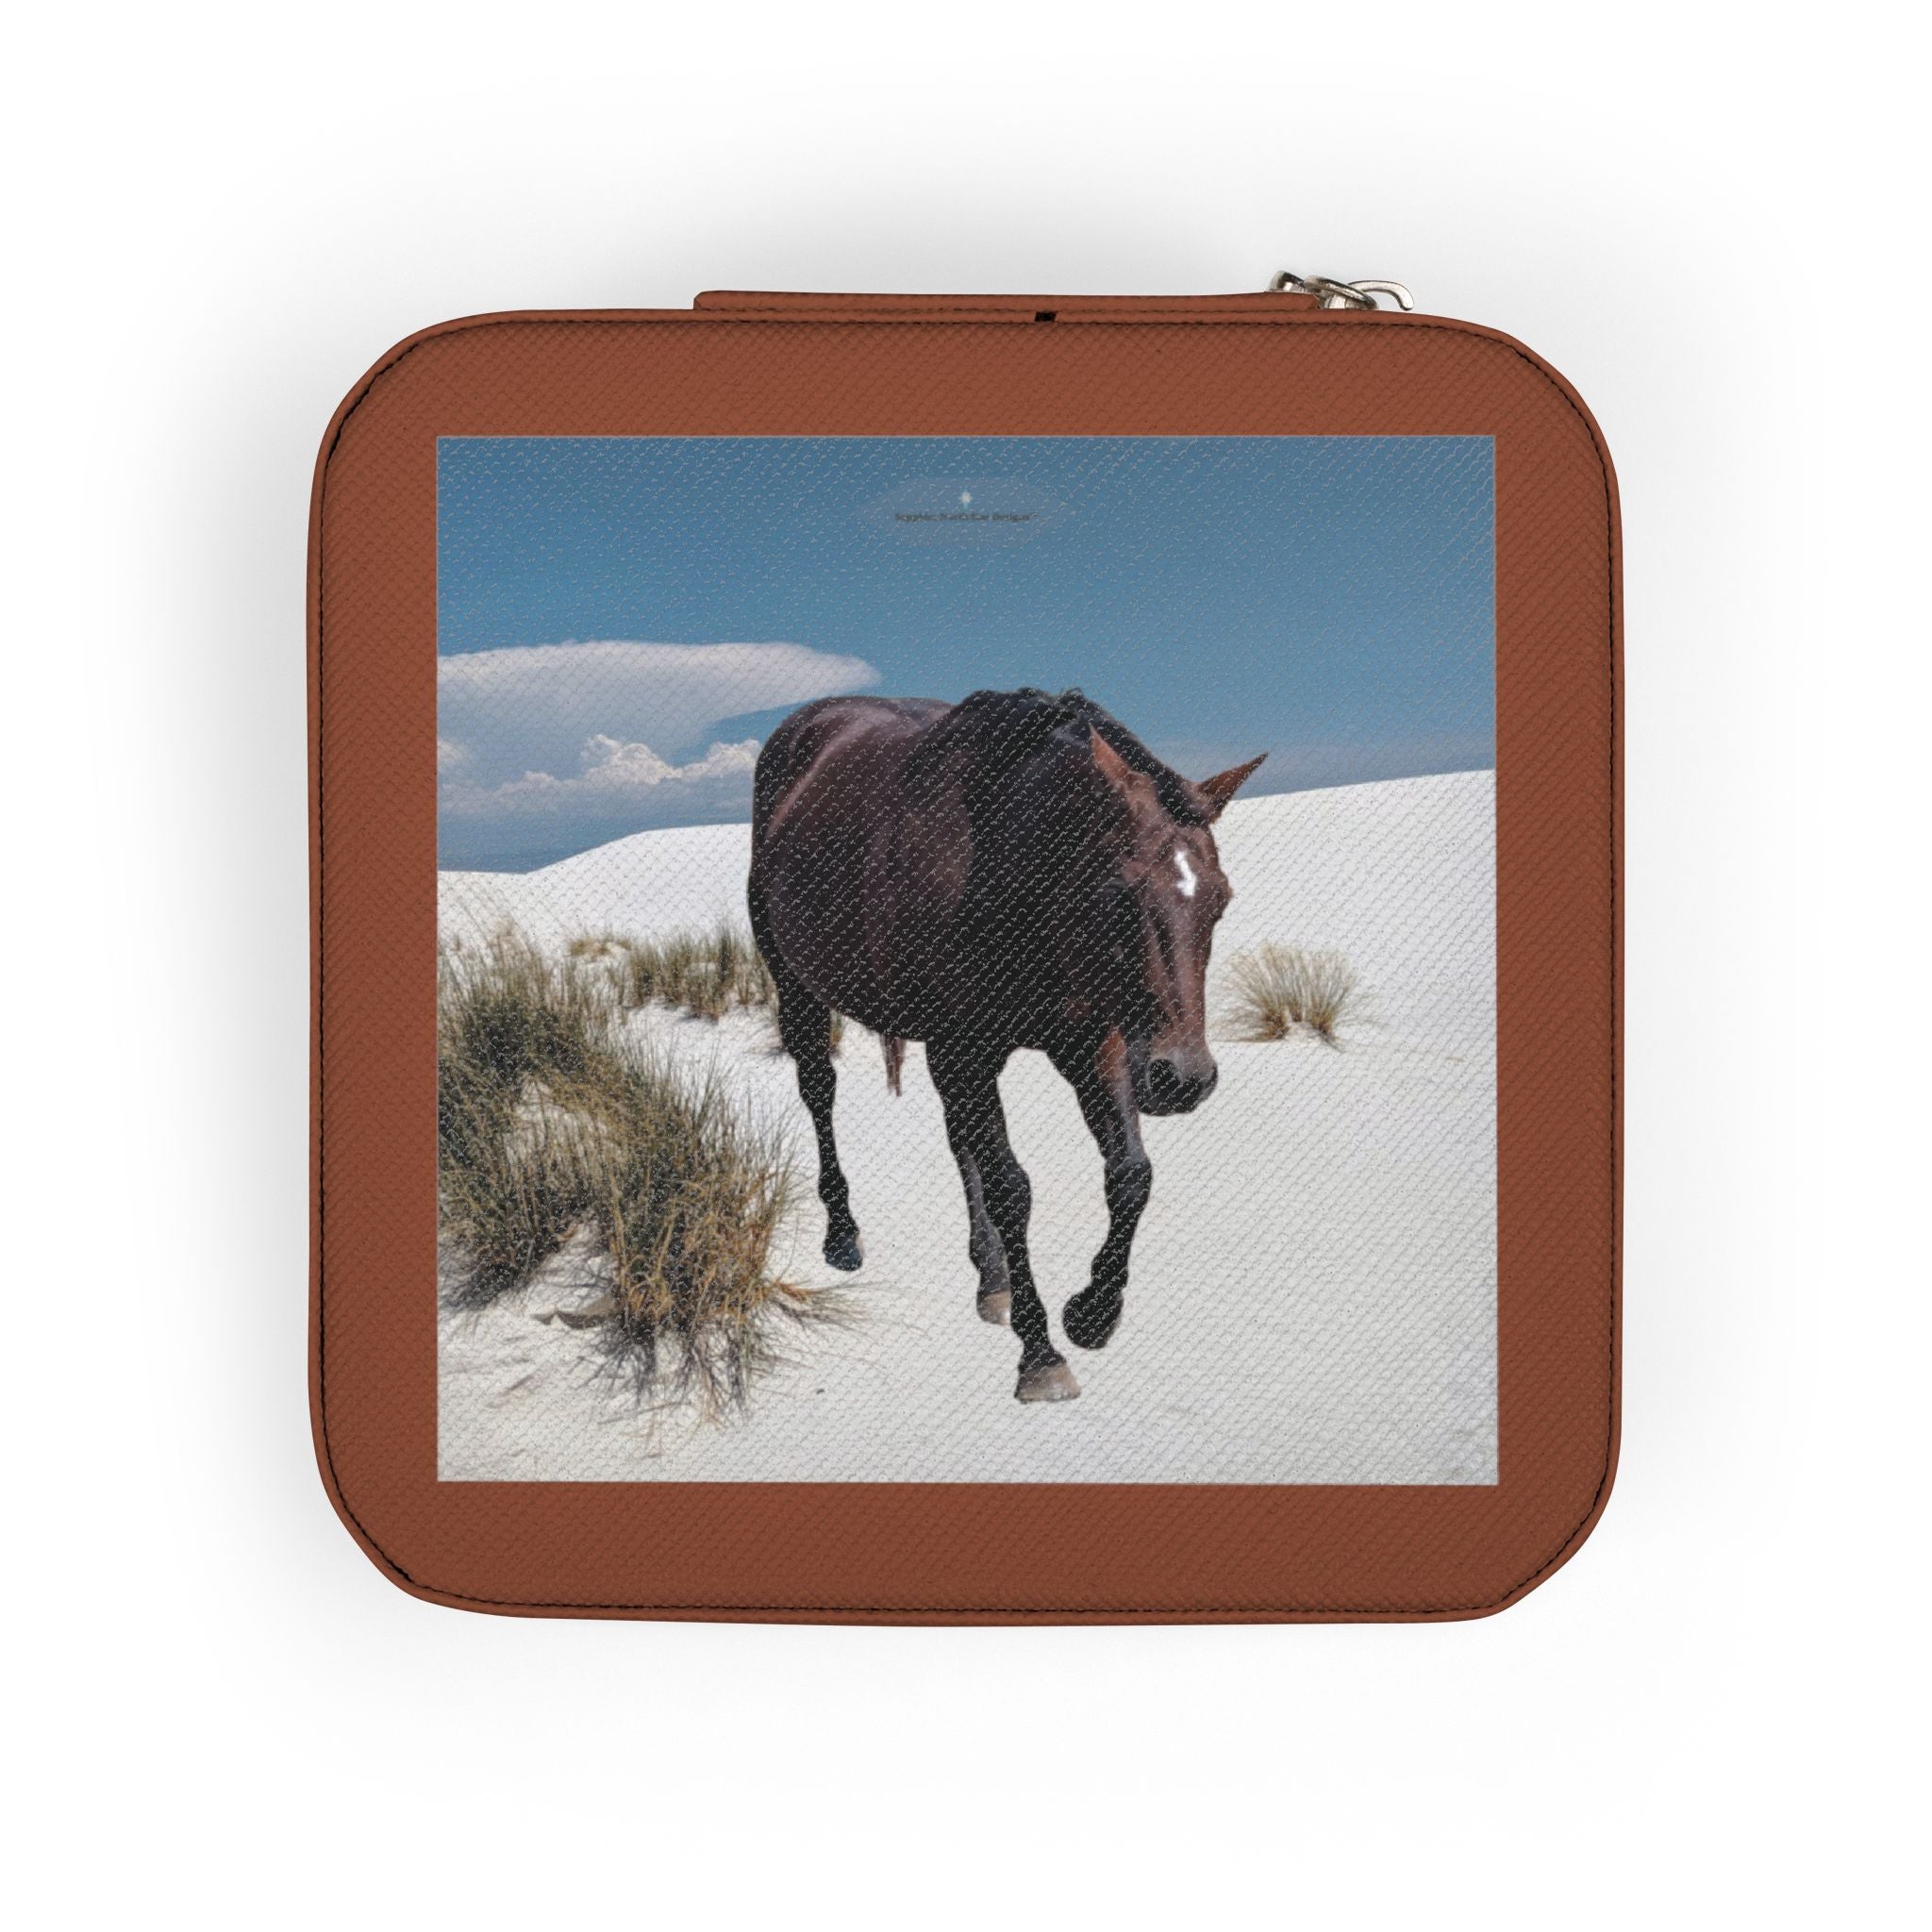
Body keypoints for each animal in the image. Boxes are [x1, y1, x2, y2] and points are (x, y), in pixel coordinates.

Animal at [747, 687, 1265, 1403]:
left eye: (1220, 900)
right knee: (820, 1094)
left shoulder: (1090, 1045)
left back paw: (990, 1278)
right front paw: (1040, 1352)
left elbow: (1130, 1176)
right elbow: (1012, 1189)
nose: (1183, 1079)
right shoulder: (966, 1050)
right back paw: (844, 1235)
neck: (1005, 868)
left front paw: (1093, 1312)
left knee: (958, 1137)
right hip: (799, 988)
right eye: (1118, 898)